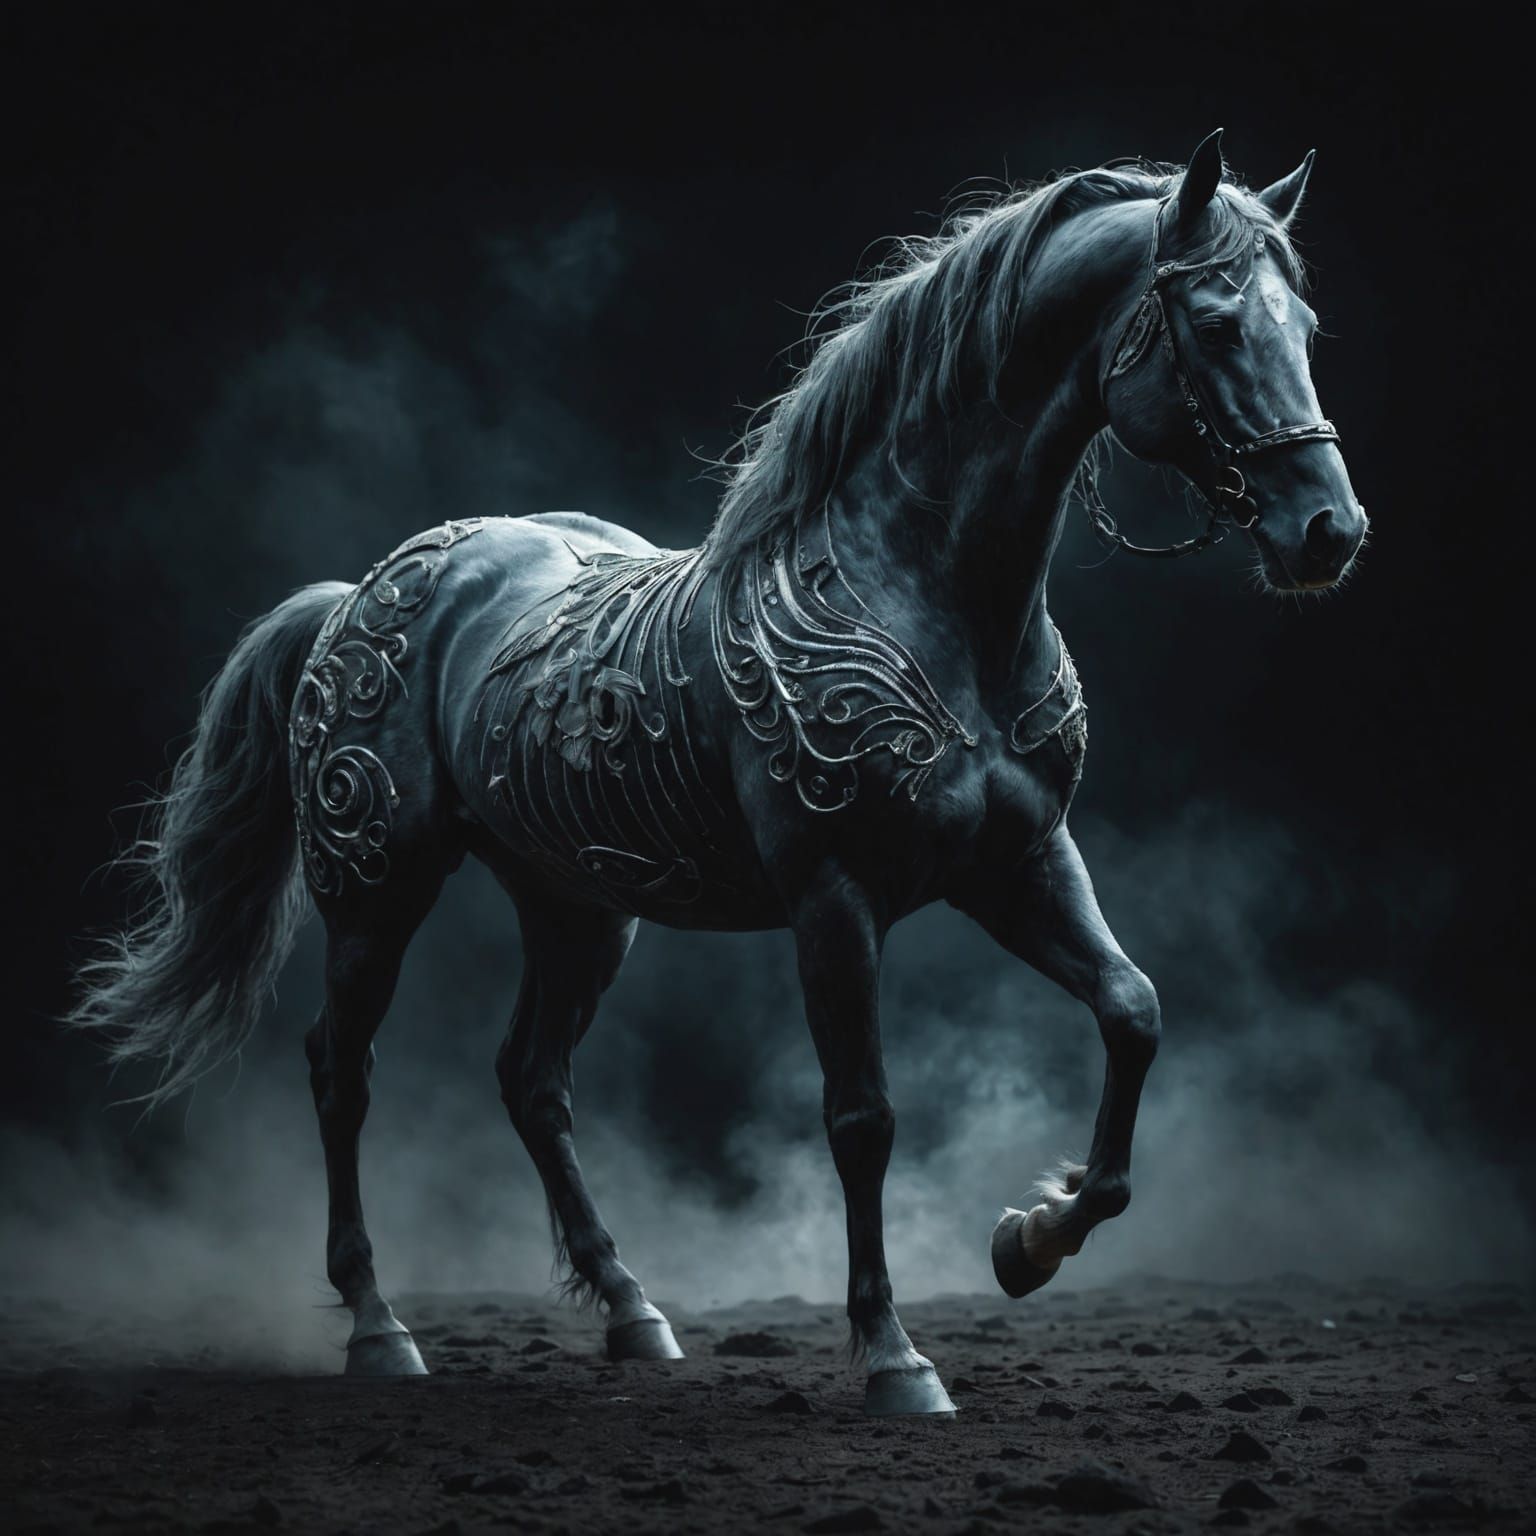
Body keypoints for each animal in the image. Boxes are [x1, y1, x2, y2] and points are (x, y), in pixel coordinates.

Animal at [71, 130, 1367, 1416]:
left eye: (1304, 326)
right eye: (1215, 325)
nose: (1330, 532)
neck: (925, 598)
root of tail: (364, 593)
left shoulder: (1023, 864)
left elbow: (1133, 1011)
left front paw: (1028, 1239)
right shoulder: (835, 899)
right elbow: (863, 1116)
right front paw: (896, 1358)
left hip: (580, 909)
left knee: (532, 1081)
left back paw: (633, 1311)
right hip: (375, 894)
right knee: (343, 1073)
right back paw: (381, 1329)